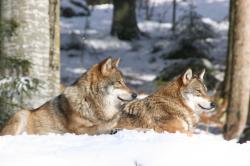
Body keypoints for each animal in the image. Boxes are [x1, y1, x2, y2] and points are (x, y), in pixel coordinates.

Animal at [0, 56, 137, 135]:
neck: (89, 101)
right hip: (21, 114)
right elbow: (99, 127)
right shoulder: (78, 130)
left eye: (124, 82)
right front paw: (112, 127)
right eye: (119, 82)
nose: (135, 94)